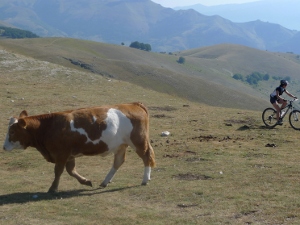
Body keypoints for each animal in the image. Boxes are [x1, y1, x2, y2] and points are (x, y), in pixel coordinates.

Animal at [2, 103, 156, 192]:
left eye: (12, 131)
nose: (3, 147)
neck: (48, 126)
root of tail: (133, 104)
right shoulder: (69, 155)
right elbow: (71, 171)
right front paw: (85, 181)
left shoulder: (61, 154)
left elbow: (58, 171)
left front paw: (53, 188)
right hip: (121, 145)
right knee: (118, 161)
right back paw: (105, 181)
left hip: (138, 141)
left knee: (146, 156)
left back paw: (145, 179)